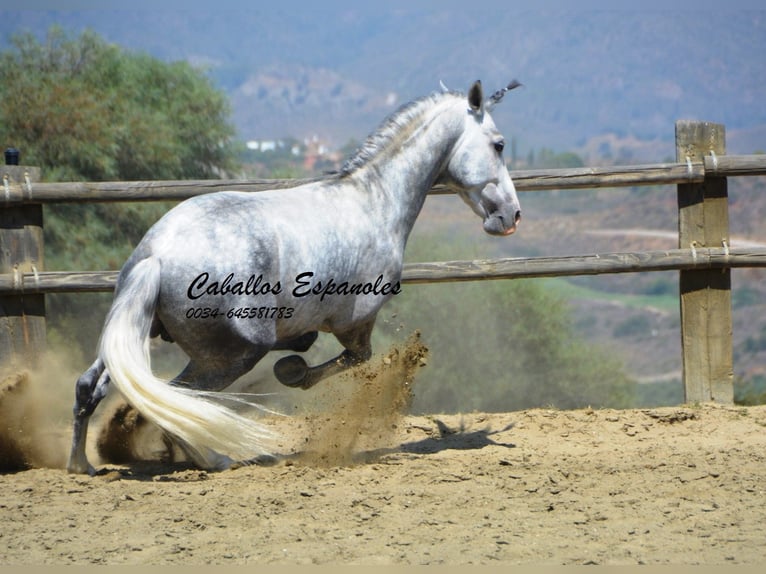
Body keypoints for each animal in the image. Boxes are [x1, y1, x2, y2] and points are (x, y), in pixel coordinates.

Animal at [67, 81, 520, 476]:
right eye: (499, 144)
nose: (511, 216)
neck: (374, 203)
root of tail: (158, 255)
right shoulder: (356, 321)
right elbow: (355, 359)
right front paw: (292, 371)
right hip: (233, 354)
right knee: (175, 398)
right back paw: (214, 459)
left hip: (133, 330)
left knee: (94, 386)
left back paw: (82, 464)